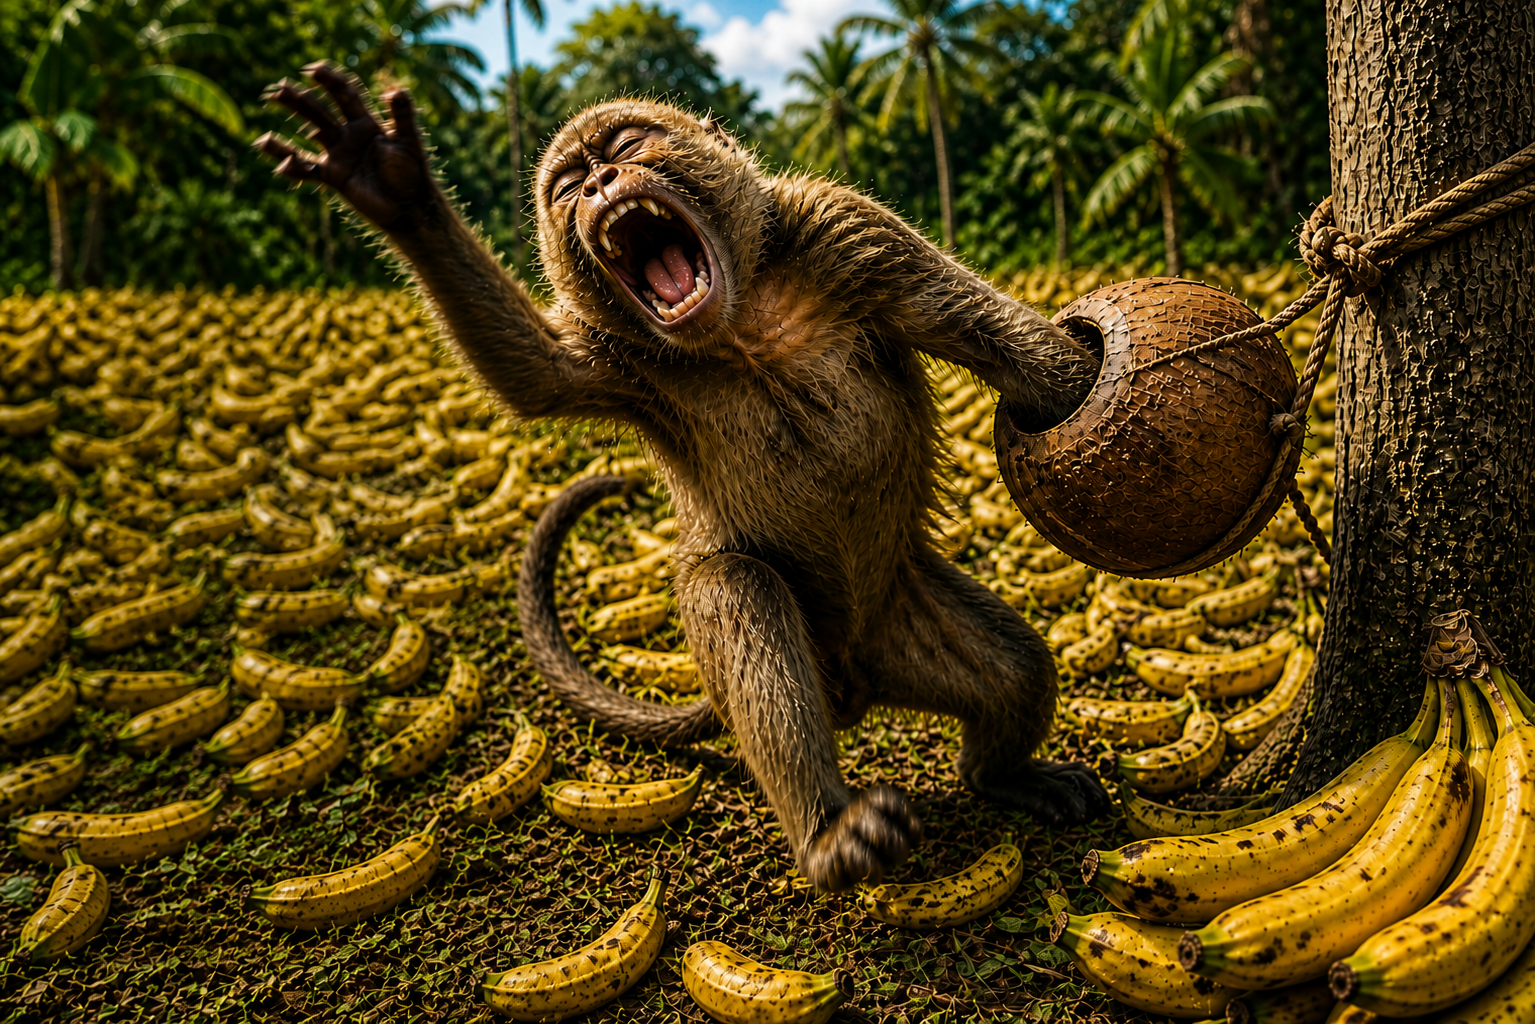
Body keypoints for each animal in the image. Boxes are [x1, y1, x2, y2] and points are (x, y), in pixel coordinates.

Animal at [254, 63, 1110, 893]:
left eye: (626, 146)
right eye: (568, 185)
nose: (602, 183)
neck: (739, 322)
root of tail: (852, 683)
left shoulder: (845, 227)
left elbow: (1000, 345)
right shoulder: (620, 351)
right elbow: (536, 376)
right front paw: (396, 192)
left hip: (899, 614)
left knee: (1015, 669)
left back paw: (1000, 775)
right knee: (735, 587)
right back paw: (830, 833)